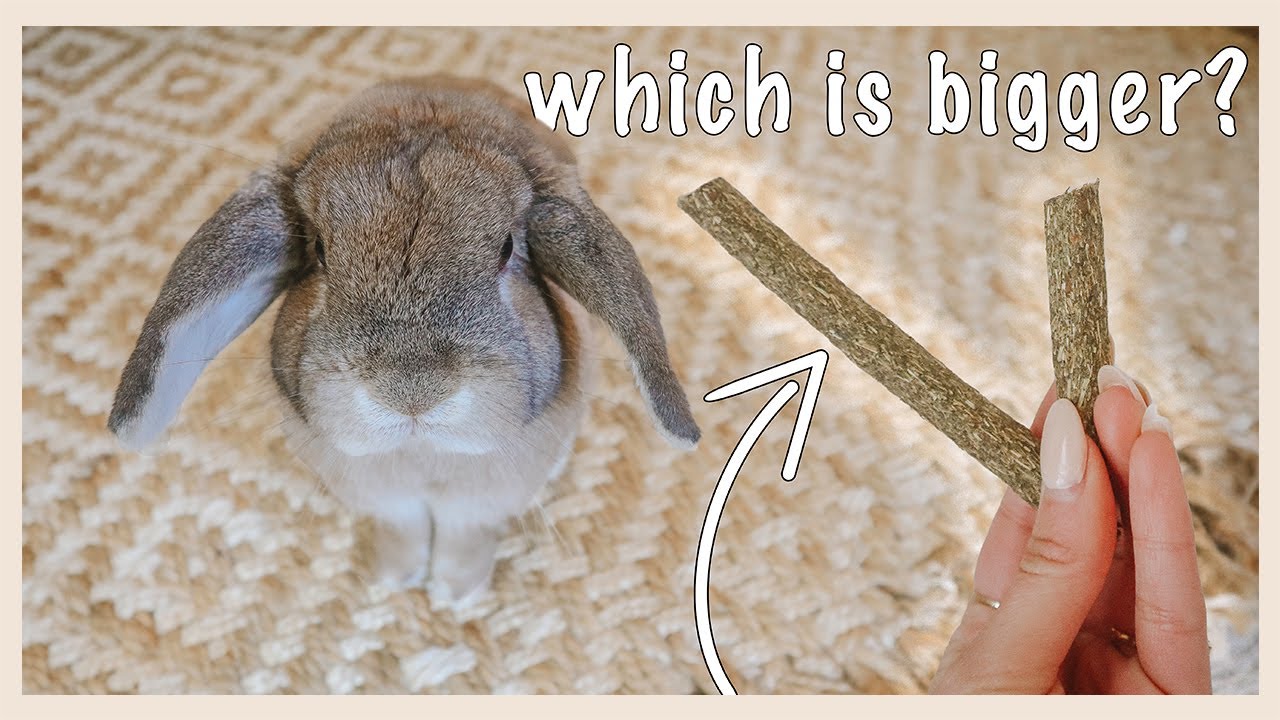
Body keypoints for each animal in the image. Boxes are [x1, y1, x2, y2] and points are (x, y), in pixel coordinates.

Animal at [107, 75, 701, 603]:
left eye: (508, 249)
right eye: (319, 251)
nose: (410, 388)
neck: (422, 454)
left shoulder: (482, 502)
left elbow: (465, 537)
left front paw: (455, 595)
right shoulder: (385, 499)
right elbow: (403, 532)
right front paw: (395, 580)